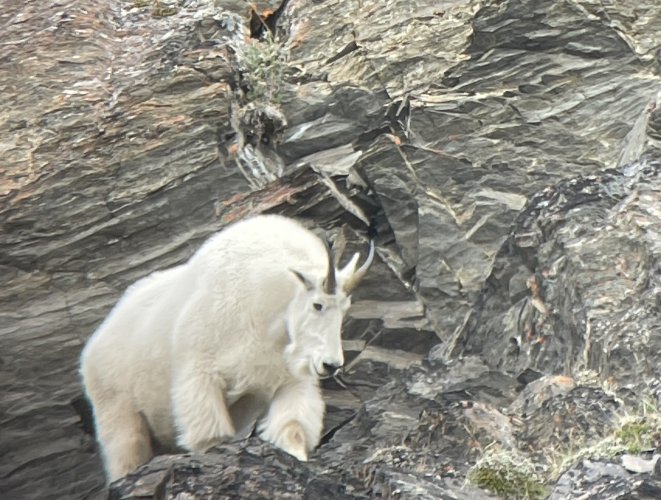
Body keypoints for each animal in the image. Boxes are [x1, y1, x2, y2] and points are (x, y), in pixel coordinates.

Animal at [80, 214, 373, 481]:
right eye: (317, 304)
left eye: (345, 309)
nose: (331, 365)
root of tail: (93, 346)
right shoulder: (201, 375)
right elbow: (211, 435)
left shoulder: (285, 381)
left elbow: (292, 429)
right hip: (118, 410)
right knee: (126, 453)